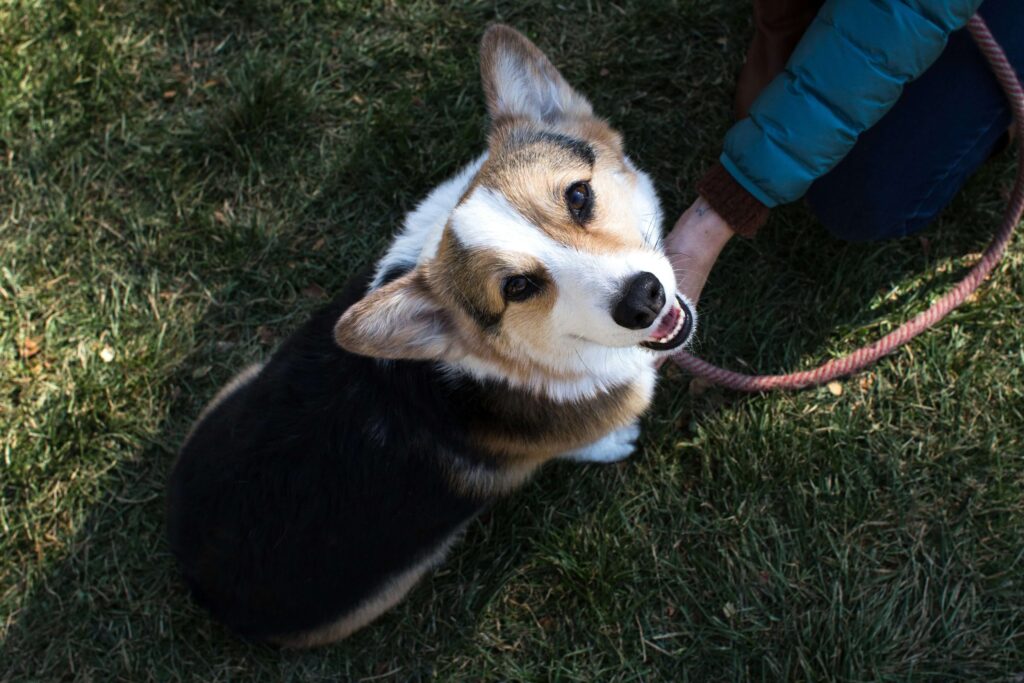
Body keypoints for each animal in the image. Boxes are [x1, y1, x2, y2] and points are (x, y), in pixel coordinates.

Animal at [167, 25, 696, 647]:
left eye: (578, 196)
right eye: (517, 287)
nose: (644, 299)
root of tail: (203, 586)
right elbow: (583, 443)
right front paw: (615, 442)